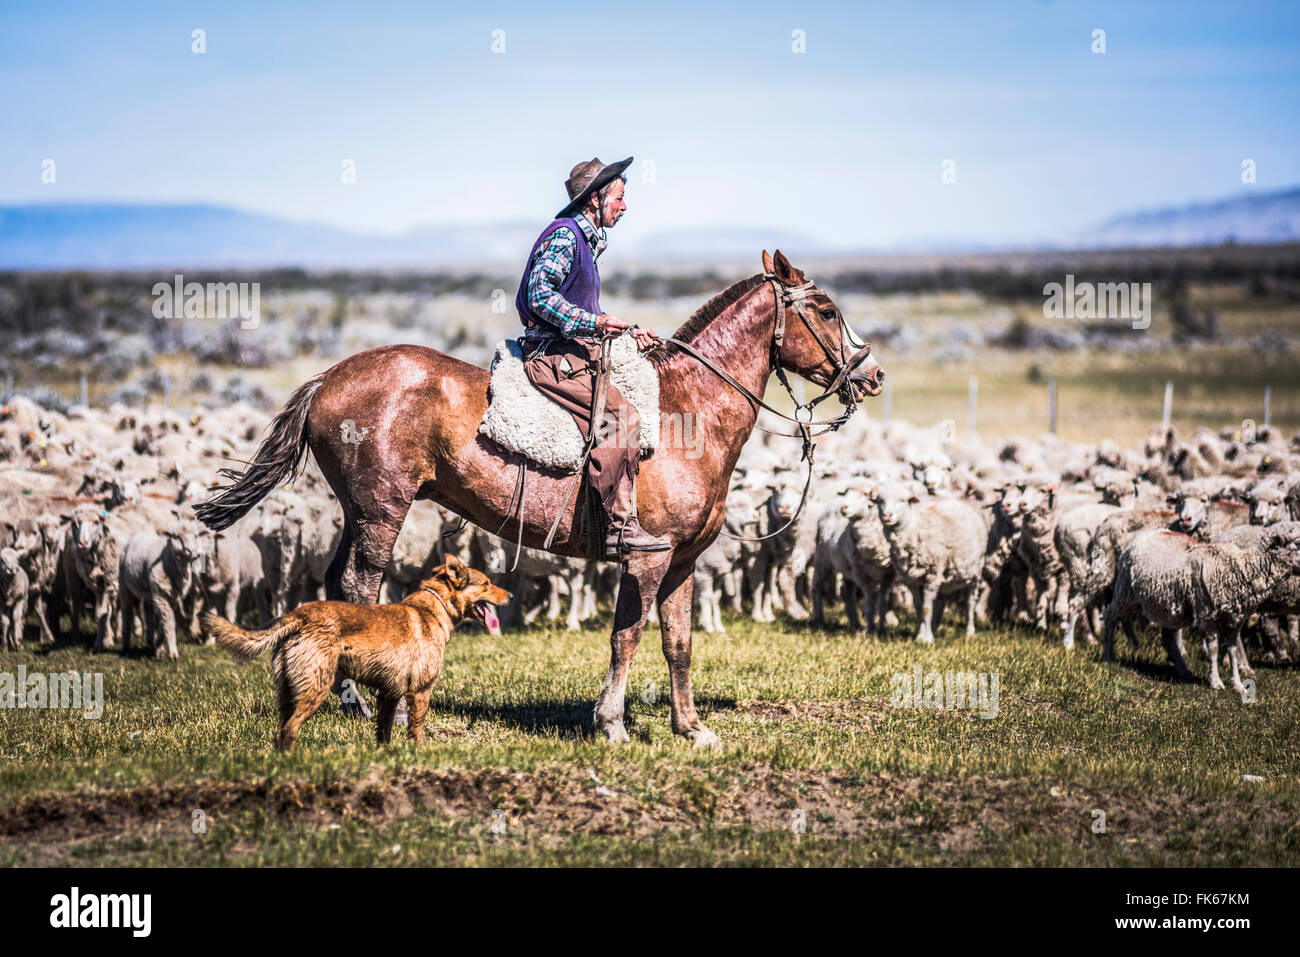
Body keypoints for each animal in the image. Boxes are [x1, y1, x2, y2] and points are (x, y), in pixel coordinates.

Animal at [873, 481, 985, 642]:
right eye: (880, 501)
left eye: (902, 500)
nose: (887, 515)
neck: (914, 529)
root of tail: (958, 503)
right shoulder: (912, 579)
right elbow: (919, 608)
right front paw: (921, 636)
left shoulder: (930, 576)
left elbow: (926, 608)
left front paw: (926, 640)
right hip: (944, 575)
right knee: (940, 601)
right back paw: (934, 627)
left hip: (975, 572)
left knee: (970, 602)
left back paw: (969, 632)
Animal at [1103, 522, 1300, 691]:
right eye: (1297, 543)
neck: (1239, 567)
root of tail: (1144, 534)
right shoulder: (1208, 615)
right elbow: (1213, 649)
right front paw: (1216, 682)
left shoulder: (1234, 620)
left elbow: (1233, 651)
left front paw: (1237, 684)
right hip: (1125, 593)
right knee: (1110, 616)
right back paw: (1108, 654)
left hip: (1168, 608)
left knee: (1168, 638)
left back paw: (1184, 670)